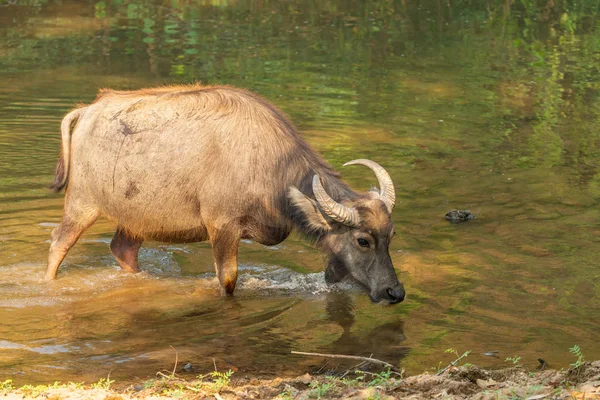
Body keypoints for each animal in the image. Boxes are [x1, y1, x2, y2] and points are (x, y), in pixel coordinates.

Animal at [44, 84, 406, 304]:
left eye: (391, 235)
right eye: (363, 240)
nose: (395, 292)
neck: (272, 169)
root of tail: (87, 110)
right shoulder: (222, 226)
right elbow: (228, 279)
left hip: (135, 218)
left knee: (122, 249)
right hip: (81, 202)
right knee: (58, 243)